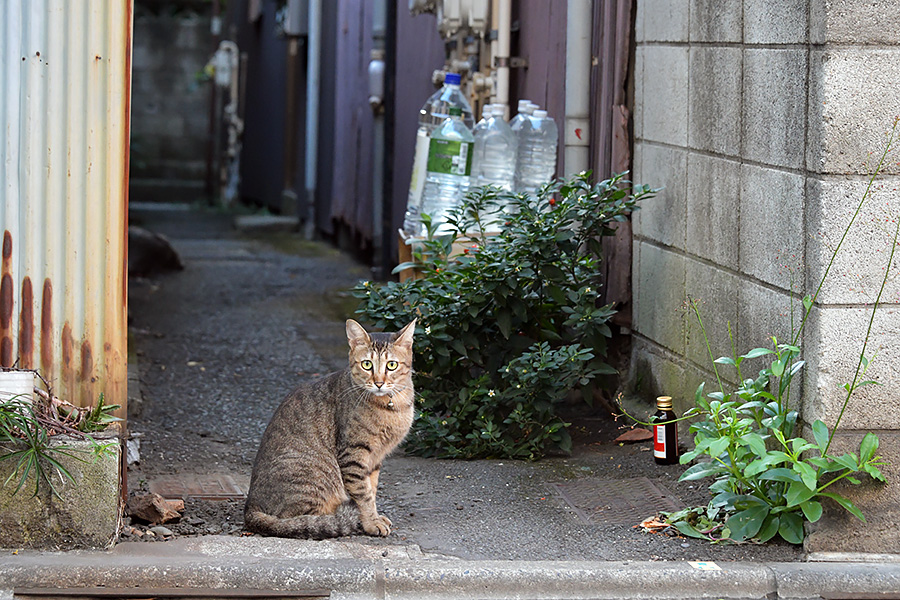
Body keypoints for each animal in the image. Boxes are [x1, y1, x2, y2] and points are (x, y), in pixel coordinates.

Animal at [244, 318, 416, 540]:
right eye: (367, 364)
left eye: (392, 365)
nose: (379, 383)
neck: (393, 406)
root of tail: (250, 507)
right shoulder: (353, 454)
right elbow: (364, 495)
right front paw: (370, 522)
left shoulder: (375, 458)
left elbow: (372, 489)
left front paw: (375, 517)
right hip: (314, 475)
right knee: (300, 520)